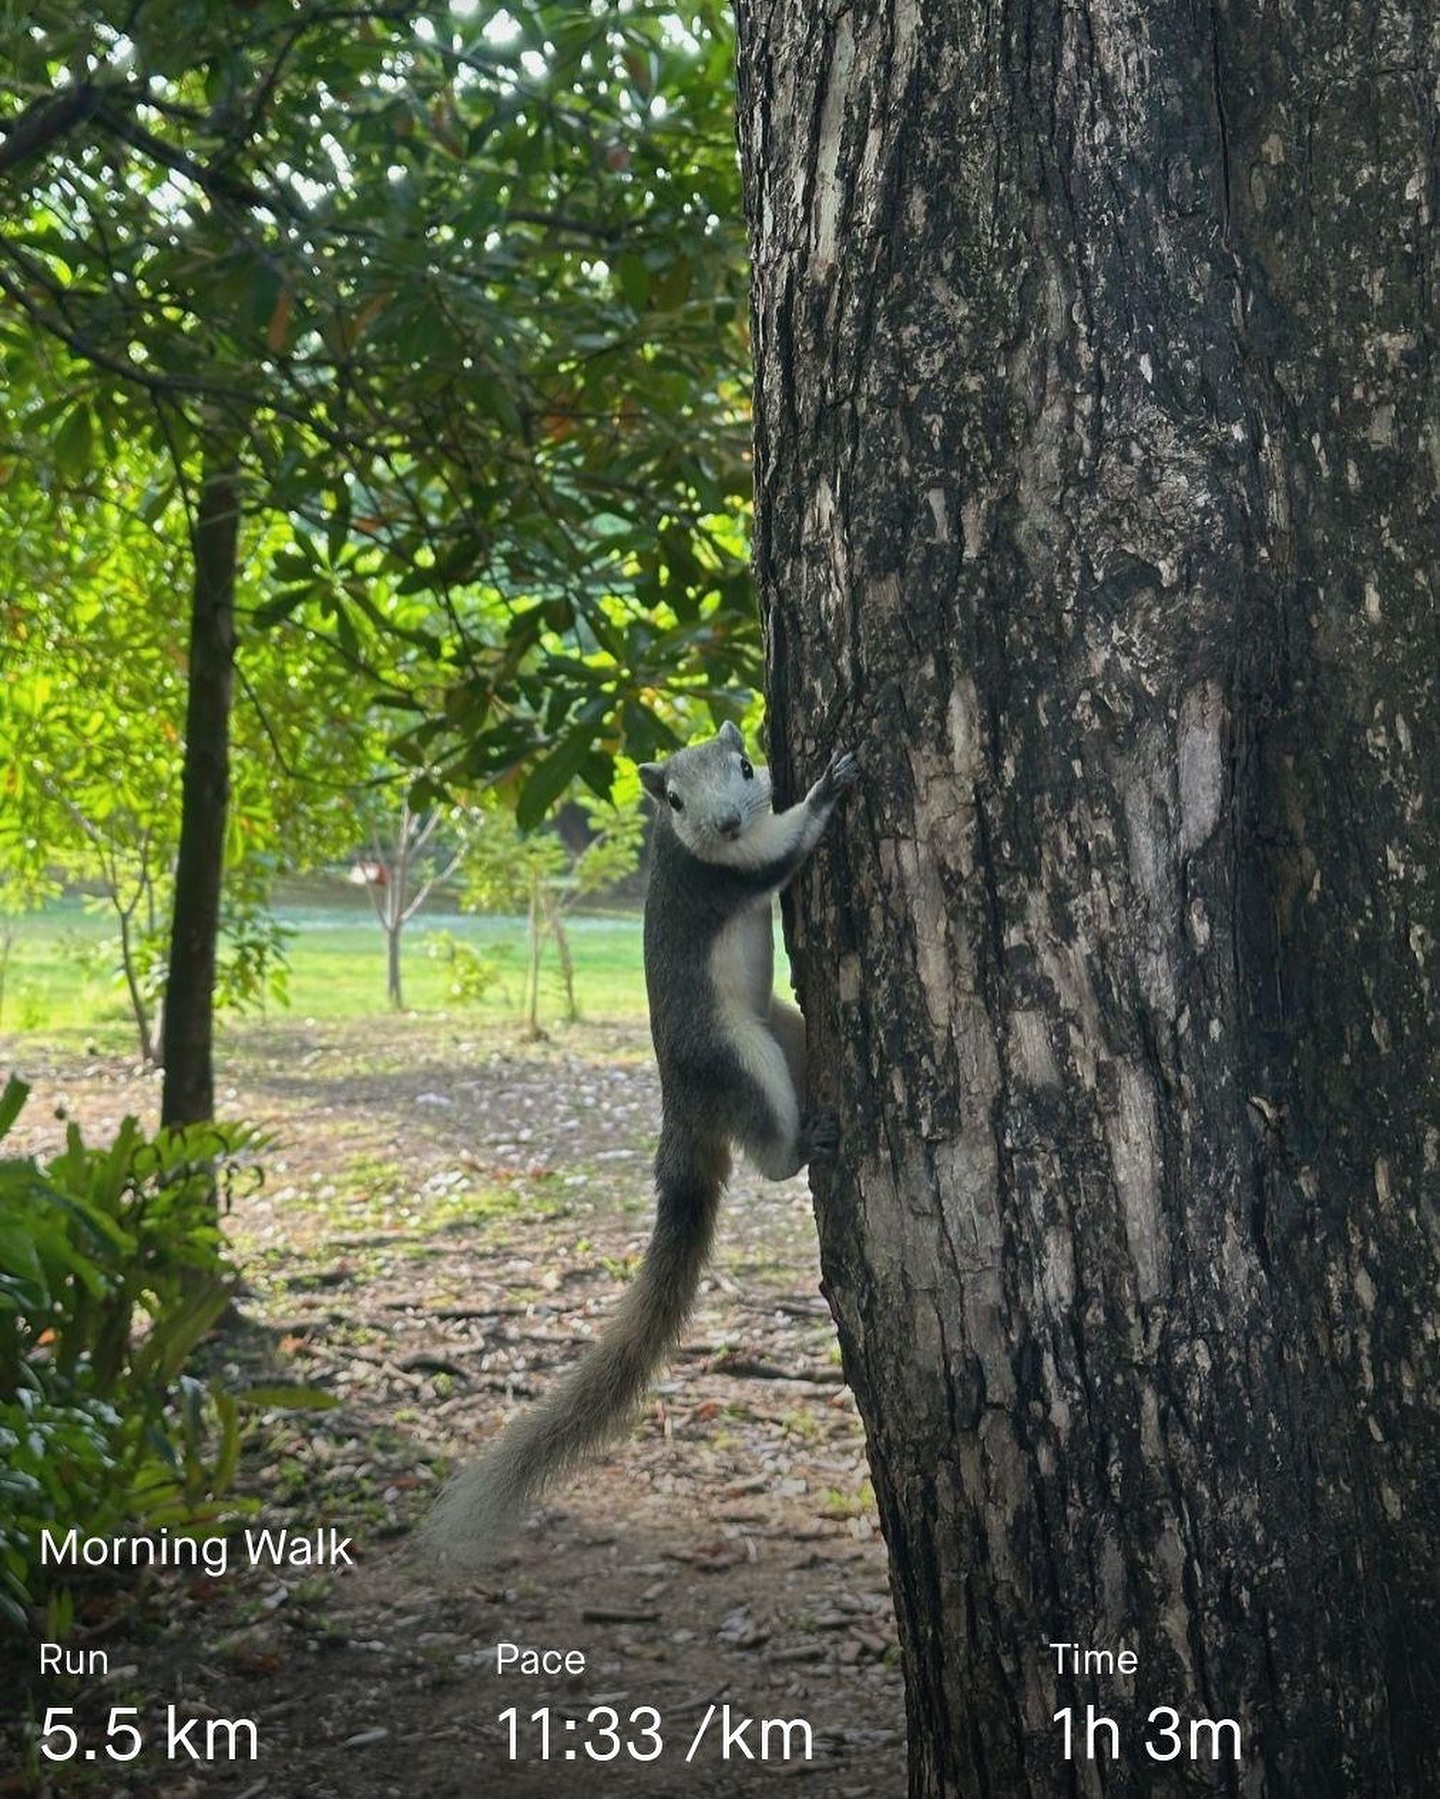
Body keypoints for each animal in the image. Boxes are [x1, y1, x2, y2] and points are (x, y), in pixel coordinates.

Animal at [421, 719, 860, 1561]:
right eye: (678, 799)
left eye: (746, 765)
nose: (726, 823)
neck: (687, 842)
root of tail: (682, 1115)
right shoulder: (724, 872)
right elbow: (782, 851)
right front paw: (828, 787)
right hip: (735, 1058)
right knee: (764, 1143)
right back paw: (803, 1145)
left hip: (782, 1027)